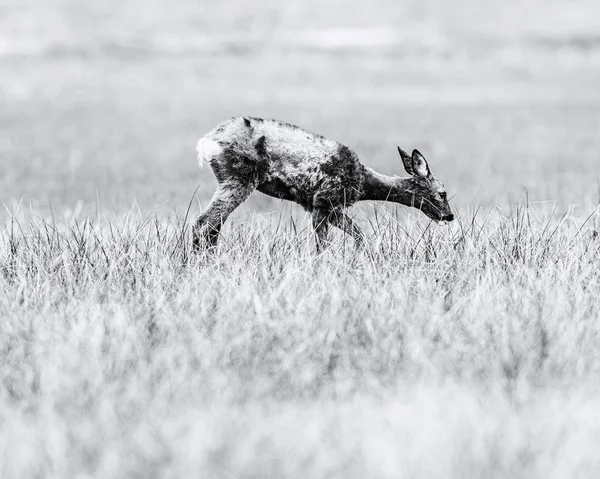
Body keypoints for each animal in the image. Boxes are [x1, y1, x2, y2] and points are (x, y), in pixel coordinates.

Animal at [195, 116, 452, 253]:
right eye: (442, 193)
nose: (449, 216)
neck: (363, 183)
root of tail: (206, 142)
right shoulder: (323, 201)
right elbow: (322, 245)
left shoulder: (331, 209)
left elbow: (360, 235)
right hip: (238, 180)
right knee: (203, 223)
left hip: (231, 181)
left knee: (213, 226)